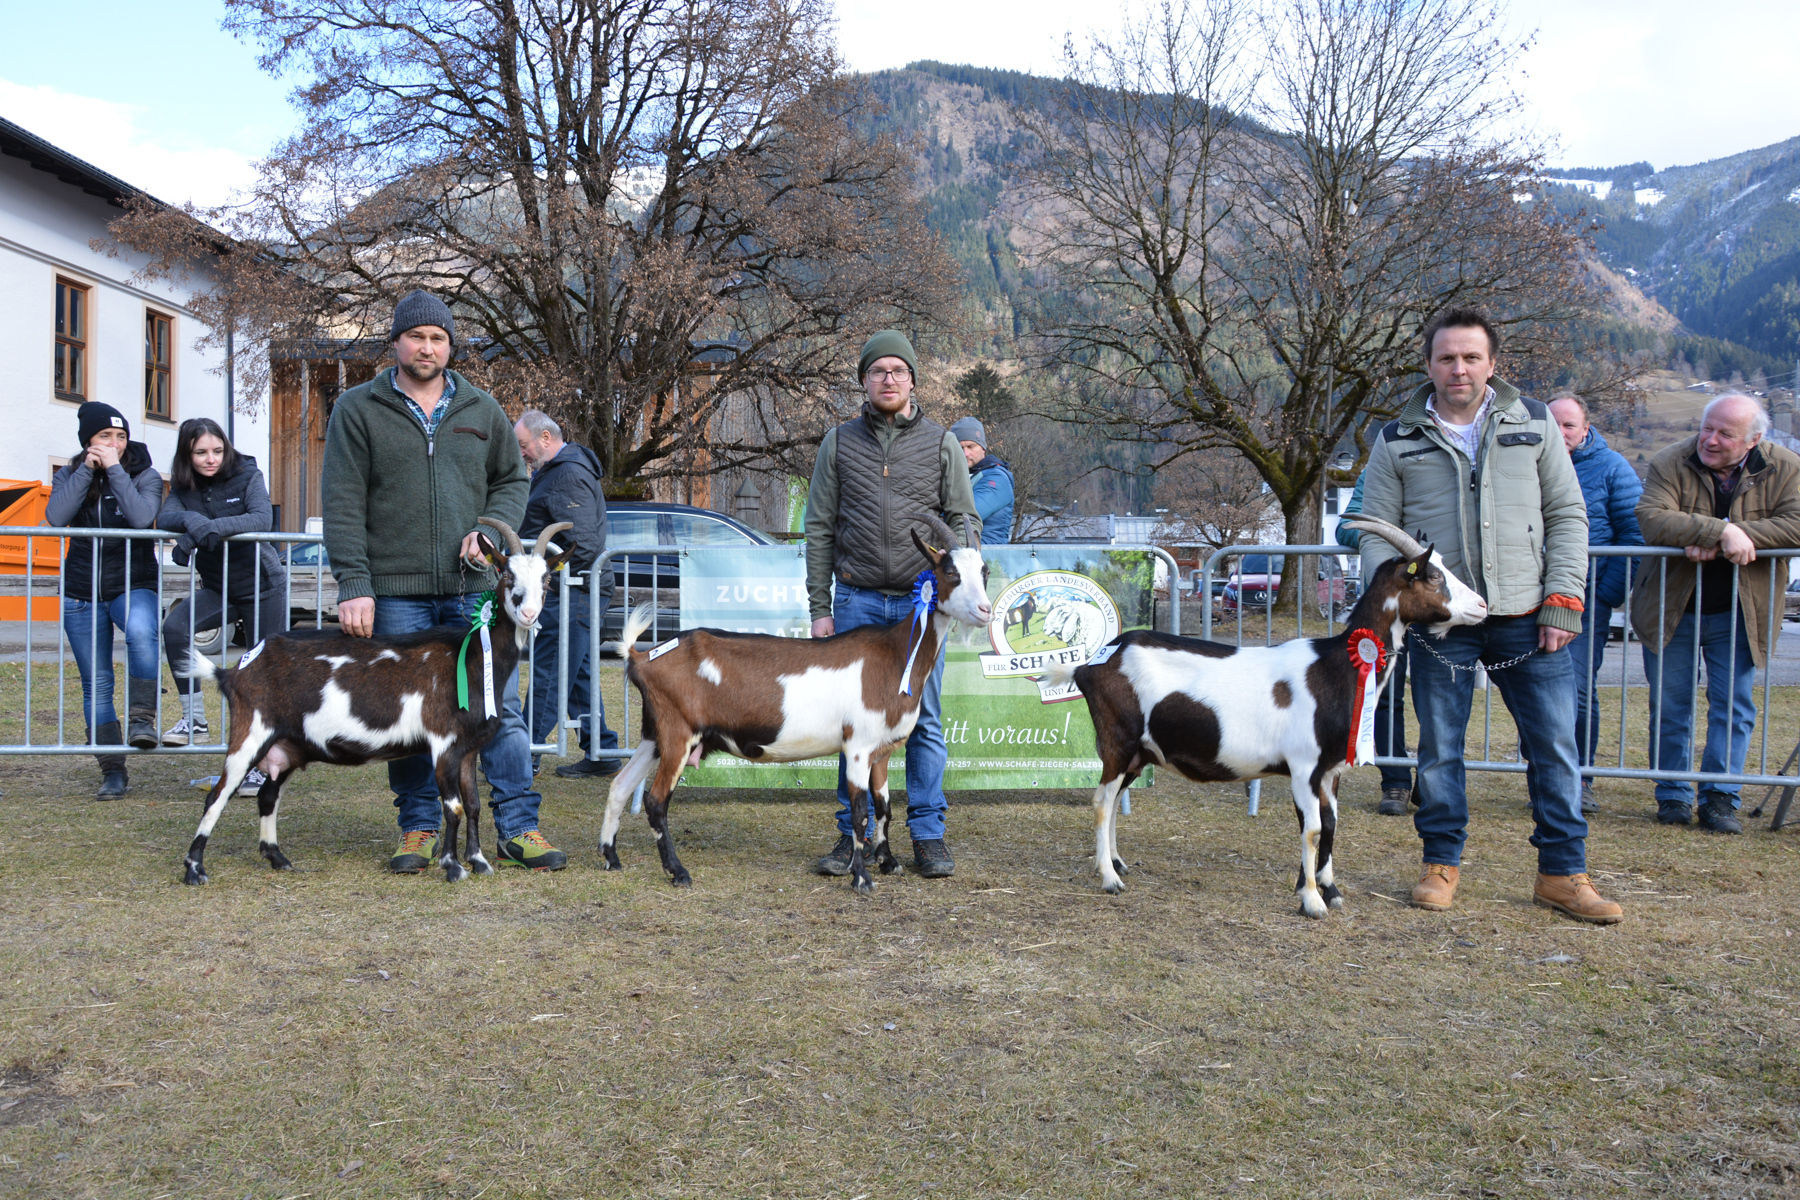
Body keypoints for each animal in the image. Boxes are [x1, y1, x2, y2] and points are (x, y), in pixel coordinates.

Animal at [174, 518, 568, 881]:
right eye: (506, 575)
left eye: (547, 580)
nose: (528, 614)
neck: (472, 657)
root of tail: (233, 671)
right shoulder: (442, 743)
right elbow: (453, 807)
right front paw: (453, 867)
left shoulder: (468, 748)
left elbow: (472, 805)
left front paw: (480, 862)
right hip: (251, 731)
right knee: (217, 795)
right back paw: (194, 869)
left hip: (287, 745)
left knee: (267, 796)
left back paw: (278, 858)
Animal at [604, 510, 1000, 895]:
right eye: (950, 572)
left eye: (984, 571)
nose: (985, 610)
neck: (894, 654)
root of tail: (642, 657)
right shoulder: (857, 745)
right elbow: (860, 811)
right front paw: (862, 879)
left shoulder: (882, 750)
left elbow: (885, 806)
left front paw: (888, 862)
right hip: (678, 733)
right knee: (656, 801)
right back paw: (678, 872)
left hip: (654, 734)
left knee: (620, 785)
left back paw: (610, 858)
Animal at [1051, 518, 1490, 921]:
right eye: (1434, 575)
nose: (1483, 607)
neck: (1336, 667)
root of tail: (1092, 664)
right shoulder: (1304, 766)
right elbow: (1312, 829)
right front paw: (1312, 900)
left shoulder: (1330, 770)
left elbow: (1331, 824)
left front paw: (1329, 889)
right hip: (1118, 739)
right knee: (1102, 800)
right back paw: (1109, 878)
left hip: (1140, 753)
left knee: (1113, 798)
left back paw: (1116, 862)